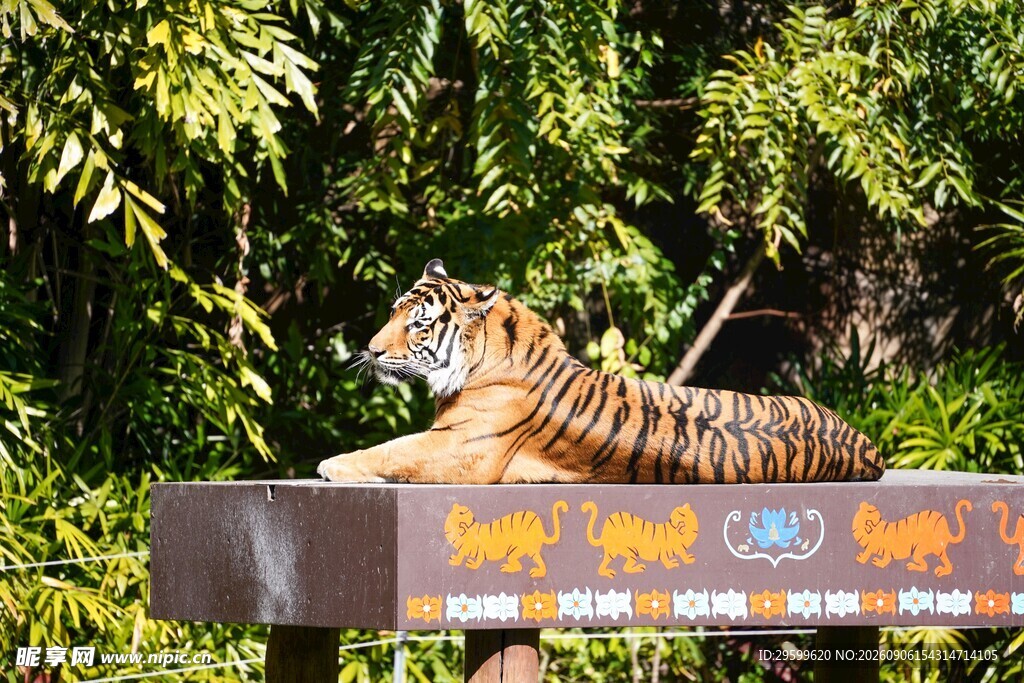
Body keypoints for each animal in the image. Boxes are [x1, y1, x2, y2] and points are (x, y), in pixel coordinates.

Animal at [317, 259, 885, 484]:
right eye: (393, 312)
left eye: (417, 324)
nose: (370, 349)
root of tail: (867, 446)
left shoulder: (460, 446)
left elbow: (393, 450)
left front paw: (331, 463)